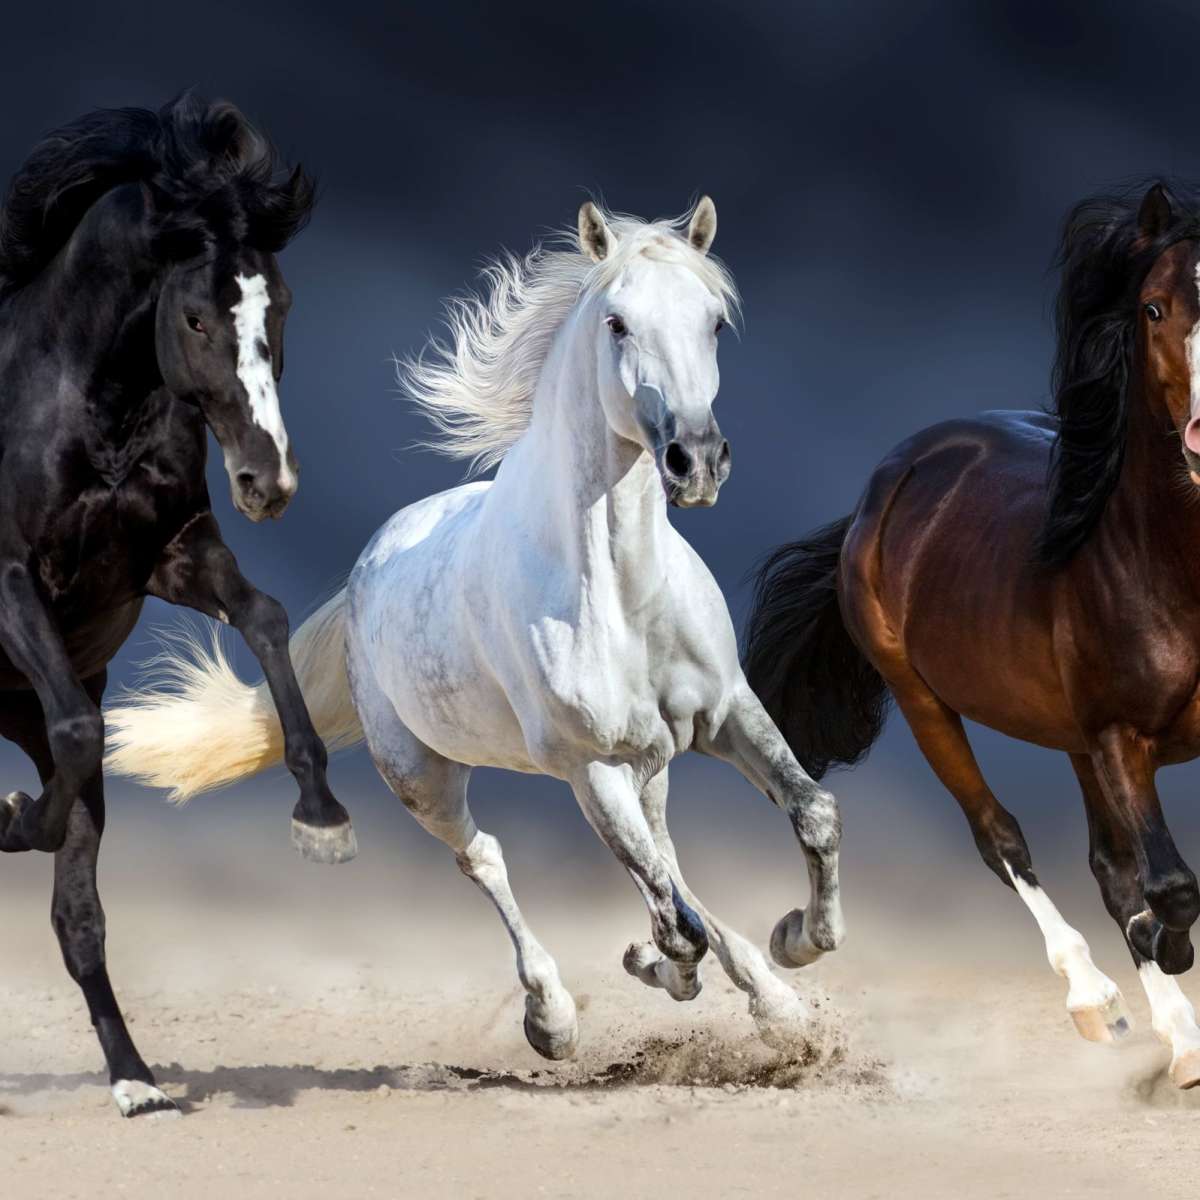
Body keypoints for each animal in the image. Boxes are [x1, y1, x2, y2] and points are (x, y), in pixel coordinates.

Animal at [0, 94, 356, 1118]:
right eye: (195, 316)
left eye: (281, 308)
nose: (269, 483)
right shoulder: (9, 581)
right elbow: (81, 727)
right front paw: (15, 818)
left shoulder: (173, 556)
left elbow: (267, 617)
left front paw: (321, 813)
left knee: (78, 917)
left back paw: (135, 1082)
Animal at [103, 197, 846, 1057]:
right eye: (617, 323)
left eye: (714, 322)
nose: (696, 459)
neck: (622, 595)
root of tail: (363, 575)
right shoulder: (591, 768)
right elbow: (674, 923)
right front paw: (664, 968)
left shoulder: (725, 712)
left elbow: (811, 814)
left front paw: (798, 942)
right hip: (425, 778)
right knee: (488, 859)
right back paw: (552, 1017)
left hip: (648, 765)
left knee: (667, 858)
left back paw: (772, 999)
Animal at [744, 180, 1200, 1089]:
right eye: (1154, 306)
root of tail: (890, 479)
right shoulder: (1121, 739)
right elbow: (1169, 886)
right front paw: (1169, 969)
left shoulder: (1106, 743)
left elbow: (1149, 880)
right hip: (930, 707)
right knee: (1008, 842)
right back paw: (1108, 1007)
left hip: (1069, 740)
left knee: (1107, 868)